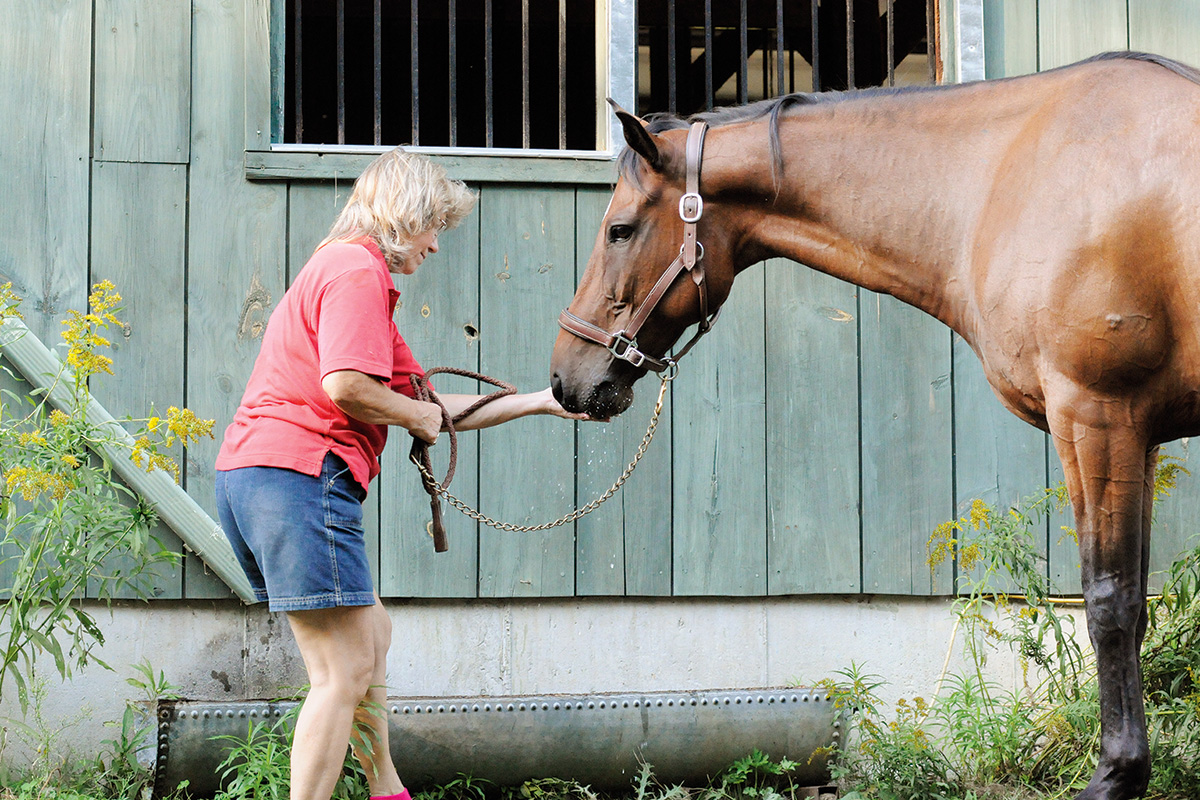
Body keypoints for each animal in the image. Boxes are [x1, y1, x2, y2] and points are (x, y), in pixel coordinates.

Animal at [552, 53, 1200, 796]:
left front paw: (1118, 774)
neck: (1007, 177)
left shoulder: (1097, 416)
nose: (566, 378)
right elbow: (1135, 600)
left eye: (619, 230)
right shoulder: (1135, 434)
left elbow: (1111, 602)